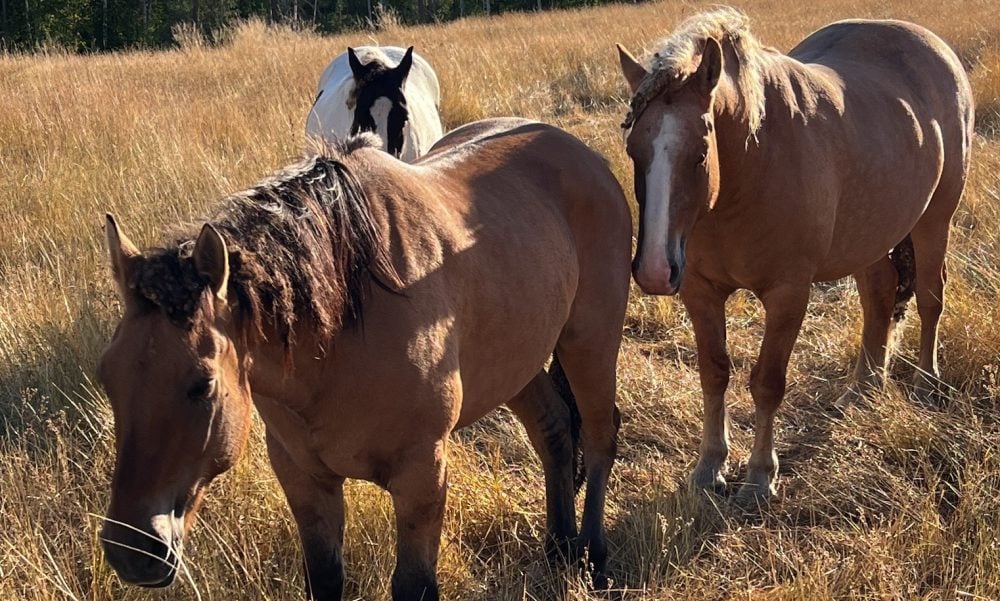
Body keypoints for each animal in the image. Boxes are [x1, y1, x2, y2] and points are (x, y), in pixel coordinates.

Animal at [97, 118, 632, 600]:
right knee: (553, 428)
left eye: (203, 383)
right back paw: (559, 549)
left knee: (600, 437)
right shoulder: (304, 479)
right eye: (108, 377)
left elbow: (414, 587)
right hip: (517, 363)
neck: (342, 330)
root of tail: (584, 155)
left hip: (590, 343)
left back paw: (593, 555)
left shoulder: (421, 476)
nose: (132, 551)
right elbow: (326, 581)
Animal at [616, 8, 974, 500]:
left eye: (701, 153)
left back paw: (926, 383)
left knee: (929, 298)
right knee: (878, 298)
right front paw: (709, 466)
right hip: (870, 235)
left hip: (934, 221)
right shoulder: (700, 291)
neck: (752, 167)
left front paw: (759, 476)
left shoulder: (788, 295)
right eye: (634, 150)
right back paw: (864, 388)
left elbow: (767, 382)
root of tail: (937, 50)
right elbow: (714, 372)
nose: (653, 270)